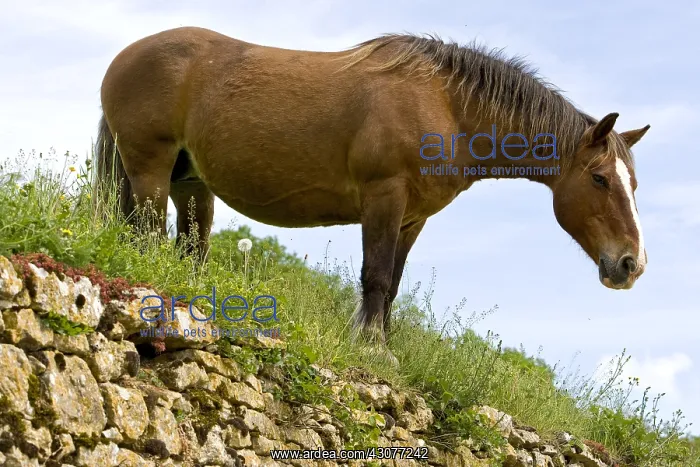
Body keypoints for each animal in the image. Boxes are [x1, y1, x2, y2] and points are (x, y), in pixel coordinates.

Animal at [95, 27, 650, 353]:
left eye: (633, 183)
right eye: (599, 178)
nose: (631, 264)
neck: (447, 106)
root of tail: (127, 54)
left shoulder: (412, 217)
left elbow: (394, 282)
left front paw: (381, 342)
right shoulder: (384, 197)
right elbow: (376, 276)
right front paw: (370, 345)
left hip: (189, 183)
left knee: (186, 246)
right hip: (150, 169)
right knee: (146, 235)